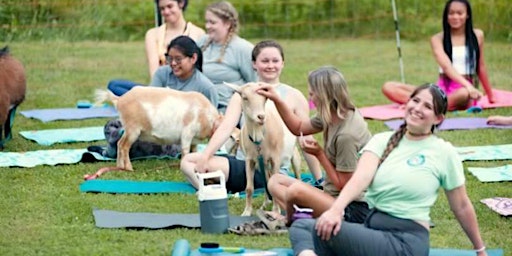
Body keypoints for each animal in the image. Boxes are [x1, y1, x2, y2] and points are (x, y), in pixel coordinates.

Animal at [93, 86, 221, 172]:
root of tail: (120, 99)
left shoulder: (194, 140)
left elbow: (194, 152)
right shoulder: (187, 133)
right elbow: (185, 151)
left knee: (119, 144)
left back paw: (120, 167)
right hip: (133, 129)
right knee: (123, 146)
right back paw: (129, 168)